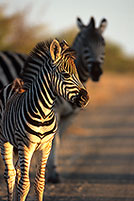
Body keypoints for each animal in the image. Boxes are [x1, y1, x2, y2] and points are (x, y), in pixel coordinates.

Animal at [0, 16, 107, 182]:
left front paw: (49, 168)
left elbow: (58, 139)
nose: (96, 71)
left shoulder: (69, 116)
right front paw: (52, 173)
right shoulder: (55, 111)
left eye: (103, 44)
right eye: (85, 46)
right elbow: (55, 141)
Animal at [0, 38, 89, 200]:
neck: (43, 113)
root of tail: (14, 84)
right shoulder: (26, 146)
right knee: (10, 174)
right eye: (66, 75)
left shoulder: (46, 146)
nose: (86, 99)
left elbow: (39, 183)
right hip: (5, 140)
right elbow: (25, 185)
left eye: (77, 75)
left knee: (17, 171)